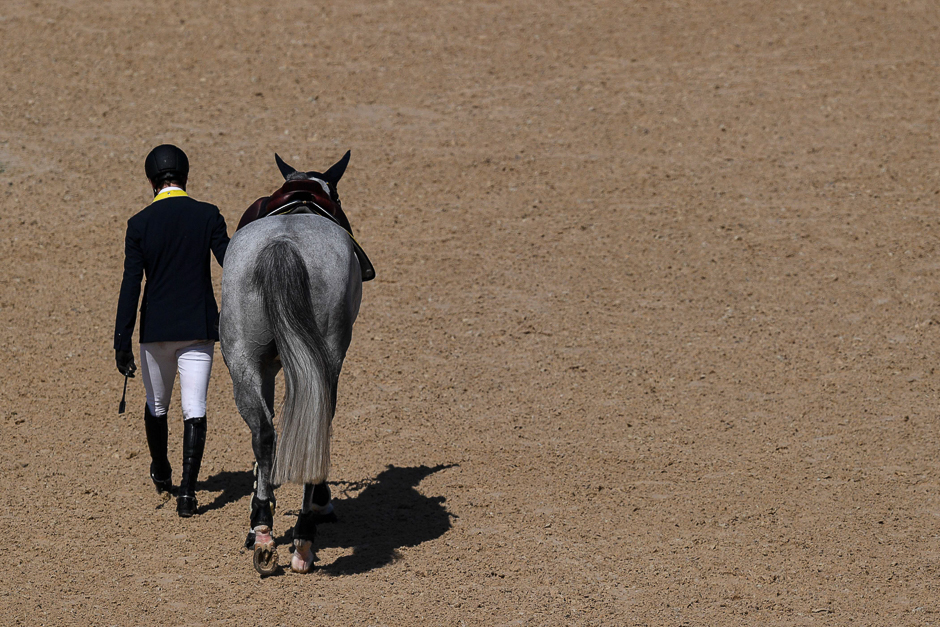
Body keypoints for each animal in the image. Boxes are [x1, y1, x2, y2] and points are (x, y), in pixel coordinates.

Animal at [218, 151, 370, 576]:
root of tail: (283, 244)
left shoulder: (267, 366)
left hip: (242, 359)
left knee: (265, 433)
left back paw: (264, 533)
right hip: (324, 359)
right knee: (315, 422)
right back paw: (303, 540)